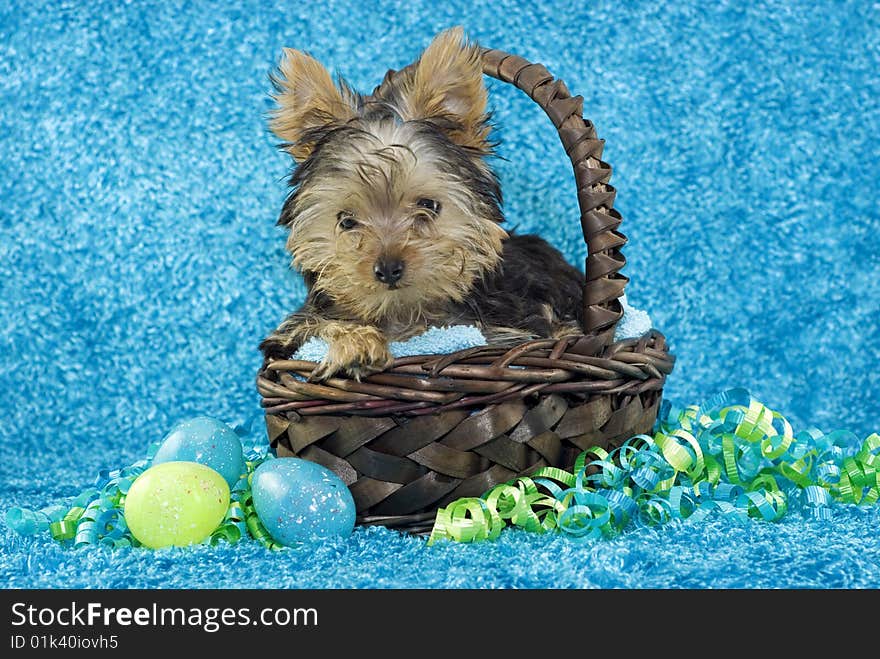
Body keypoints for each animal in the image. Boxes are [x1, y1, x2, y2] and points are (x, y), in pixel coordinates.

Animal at [260, 27, 584, 382]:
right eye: (346, 221)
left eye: (428, 206)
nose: (388, 268)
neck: (405, 314)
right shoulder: (287, 334)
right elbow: (310, 327)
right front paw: (355, 343)